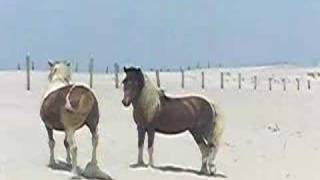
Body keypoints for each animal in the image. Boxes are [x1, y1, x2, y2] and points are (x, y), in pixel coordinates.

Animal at [40, 60, 224, 179]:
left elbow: (150, 147)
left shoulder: (151, 129)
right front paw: (140, 163)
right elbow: (140, 145)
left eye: (135, 83)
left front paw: (150, 165)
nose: (125, 102)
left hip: (200, 132)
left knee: (209, 149)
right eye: (124, 81)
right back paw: (203, 170)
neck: (149, 104)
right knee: (206, 149)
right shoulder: (141, 128)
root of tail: (210, 104)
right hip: (197, 133)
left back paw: (208, 169)